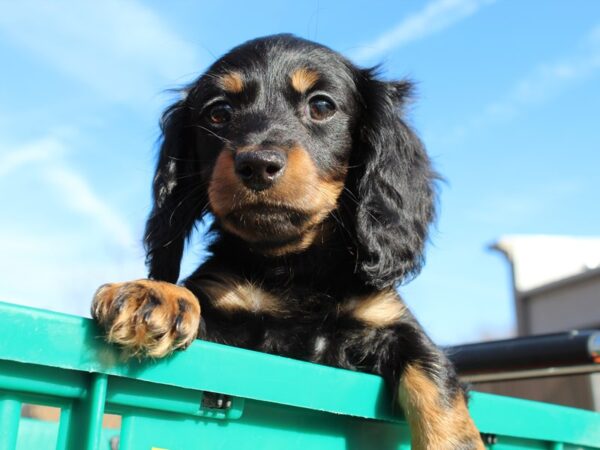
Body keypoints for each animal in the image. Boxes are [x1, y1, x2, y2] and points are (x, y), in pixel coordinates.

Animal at [92, 33, 482, 448]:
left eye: (321, 105)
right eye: (218, 113)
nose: (257, 164)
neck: (294, 265)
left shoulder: (393, 323)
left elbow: (434, 381)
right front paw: (156, 293)